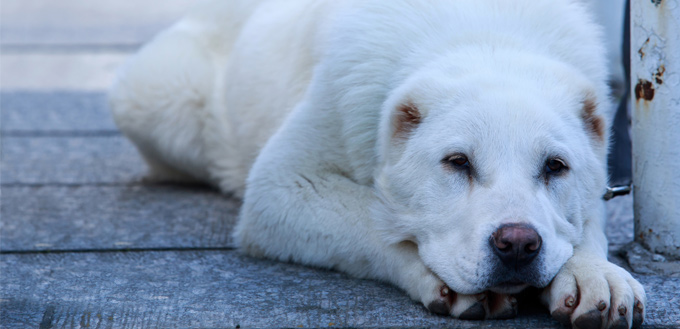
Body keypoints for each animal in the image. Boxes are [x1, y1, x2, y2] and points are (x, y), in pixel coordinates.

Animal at [109, 1, 644, 326]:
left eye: (555, 167)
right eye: (457, 162)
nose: (517, 245)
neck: (486, 34)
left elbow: (588, 222)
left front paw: (593, 271)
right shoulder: (281, 187)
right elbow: (372, 220)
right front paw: (428, 273)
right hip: (157, 100)